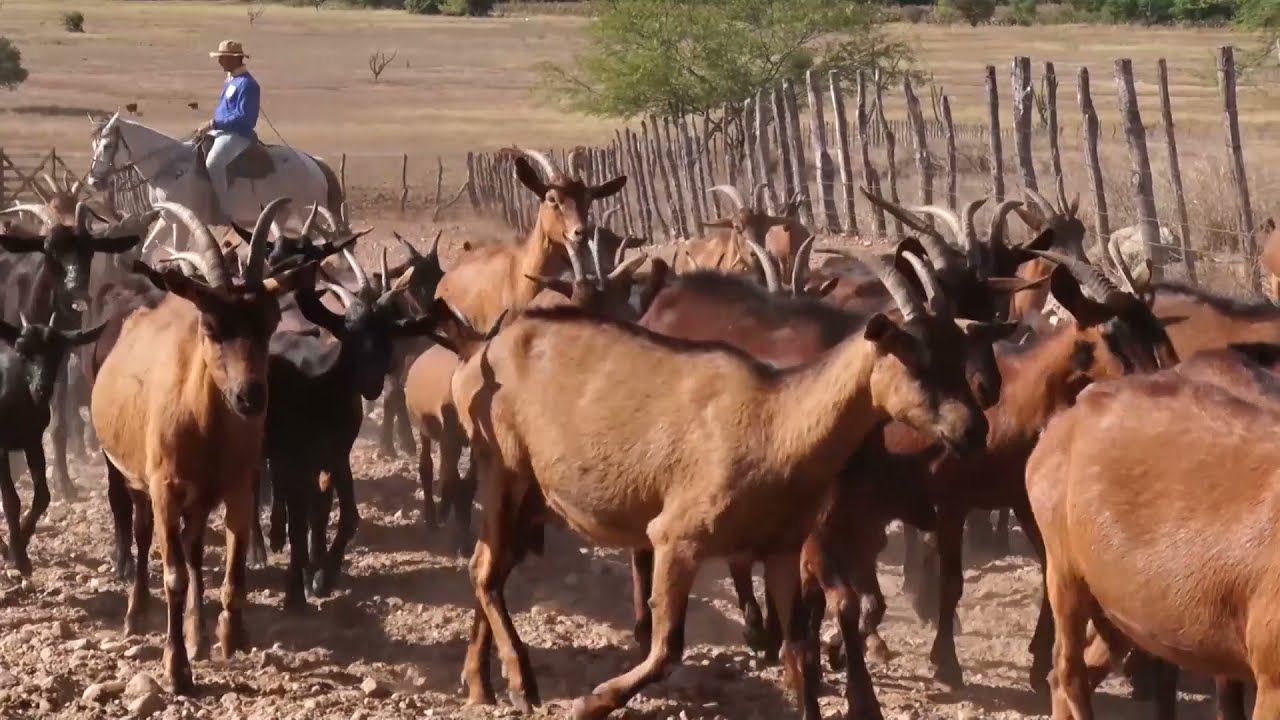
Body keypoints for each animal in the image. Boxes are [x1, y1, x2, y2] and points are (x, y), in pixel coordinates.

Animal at [0, 312, 106, 573]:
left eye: (58, 352)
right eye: (21, 350)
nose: (42, 388)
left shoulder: (33, 441)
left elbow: (43, 496)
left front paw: (19, 547)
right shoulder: (1, 447)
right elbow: (11, 499)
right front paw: (17, 555)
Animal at [91, 198, 312, 694]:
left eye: (270, 322)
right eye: (210, 327)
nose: (251, 397)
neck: (204, 424)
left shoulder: (238, 484)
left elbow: (233, 563)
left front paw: (230, 636)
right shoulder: (164, 488)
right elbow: (172, 573)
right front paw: (176, 670)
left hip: (200, 495)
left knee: (194, 550)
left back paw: (200, 632)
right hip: (139, 481)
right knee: (145, 535)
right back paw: (137, 614)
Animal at [449, 244, 991, 720]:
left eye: (959, 355)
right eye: (913, 358)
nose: (974, 430)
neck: (776, 423)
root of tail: (484, 351)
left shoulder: (782, 549)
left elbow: (801, 651)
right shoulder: (676, 539)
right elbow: (668, 649)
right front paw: (591, 702)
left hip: (531, 492)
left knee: (492, 567)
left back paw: (481, 683)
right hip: (501, 467)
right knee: (484, 570)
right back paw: (521, 683)